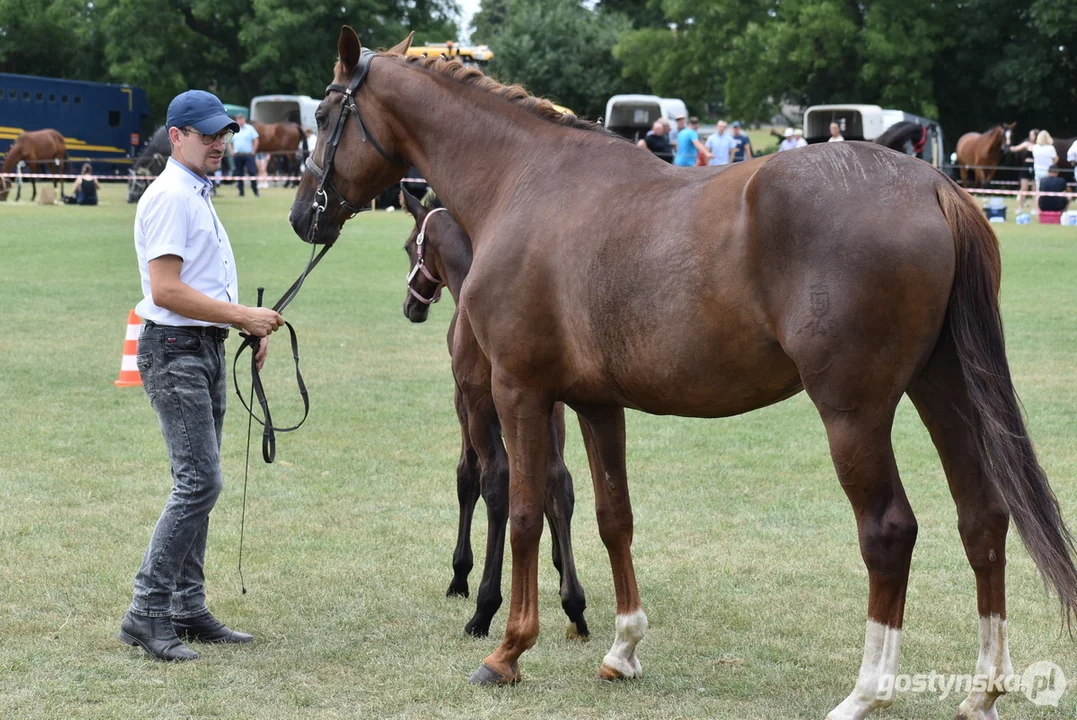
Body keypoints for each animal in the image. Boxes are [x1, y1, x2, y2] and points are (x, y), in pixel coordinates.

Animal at [288, 25, 1077, 714]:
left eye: (324, 114)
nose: (302, 215)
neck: (525, 183)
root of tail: (931, 187)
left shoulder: (518, 391)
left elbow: (521, 511)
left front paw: (507, 650)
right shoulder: (594, 403)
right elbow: (612, 516)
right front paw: (622, 647)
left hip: (854, 411)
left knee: (888, 531)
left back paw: (866, 693)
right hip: (942, 390)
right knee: (983, 519)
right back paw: (981, 693)